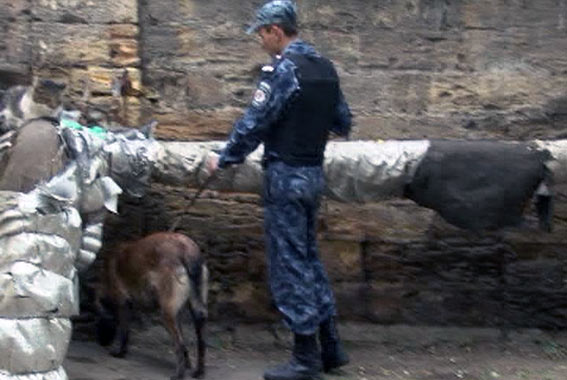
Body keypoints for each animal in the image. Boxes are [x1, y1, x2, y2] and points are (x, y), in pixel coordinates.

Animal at [96, 233, 210, 378]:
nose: (101, 343)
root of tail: (187, 248)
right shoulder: (177, 314)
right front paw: (188, 363)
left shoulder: (123, 303)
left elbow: (124, 331)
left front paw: (120, 352)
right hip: (195, 312)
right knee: (201, 341)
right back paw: (198, 371)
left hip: (166, 314)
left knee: (179, 343)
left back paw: (179, 374)